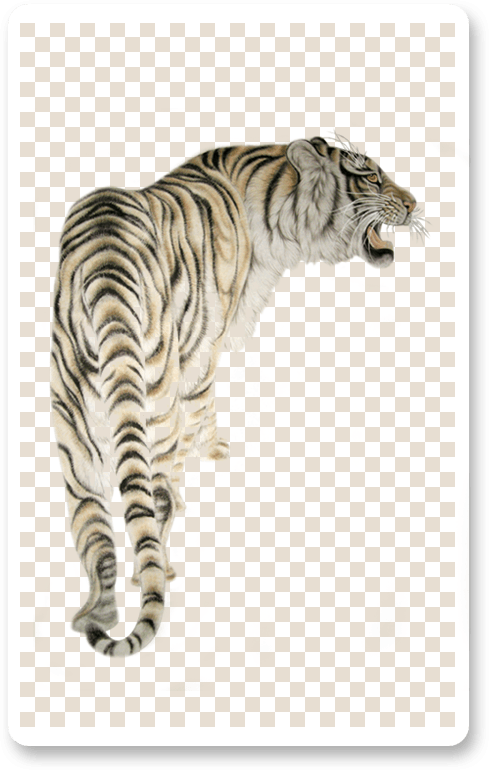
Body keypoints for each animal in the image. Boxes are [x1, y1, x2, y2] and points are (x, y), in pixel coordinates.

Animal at [50, 135, 425, 656]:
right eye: (371, 177)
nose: (413, 204)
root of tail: (102, 264)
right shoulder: (203, 351)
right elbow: (203, 411)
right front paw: (216, 450)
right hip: (153, 404)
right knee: (156, 494)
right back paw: (159, 568)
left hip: (75, 429)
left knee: (93, 528)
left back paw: (94, 617)